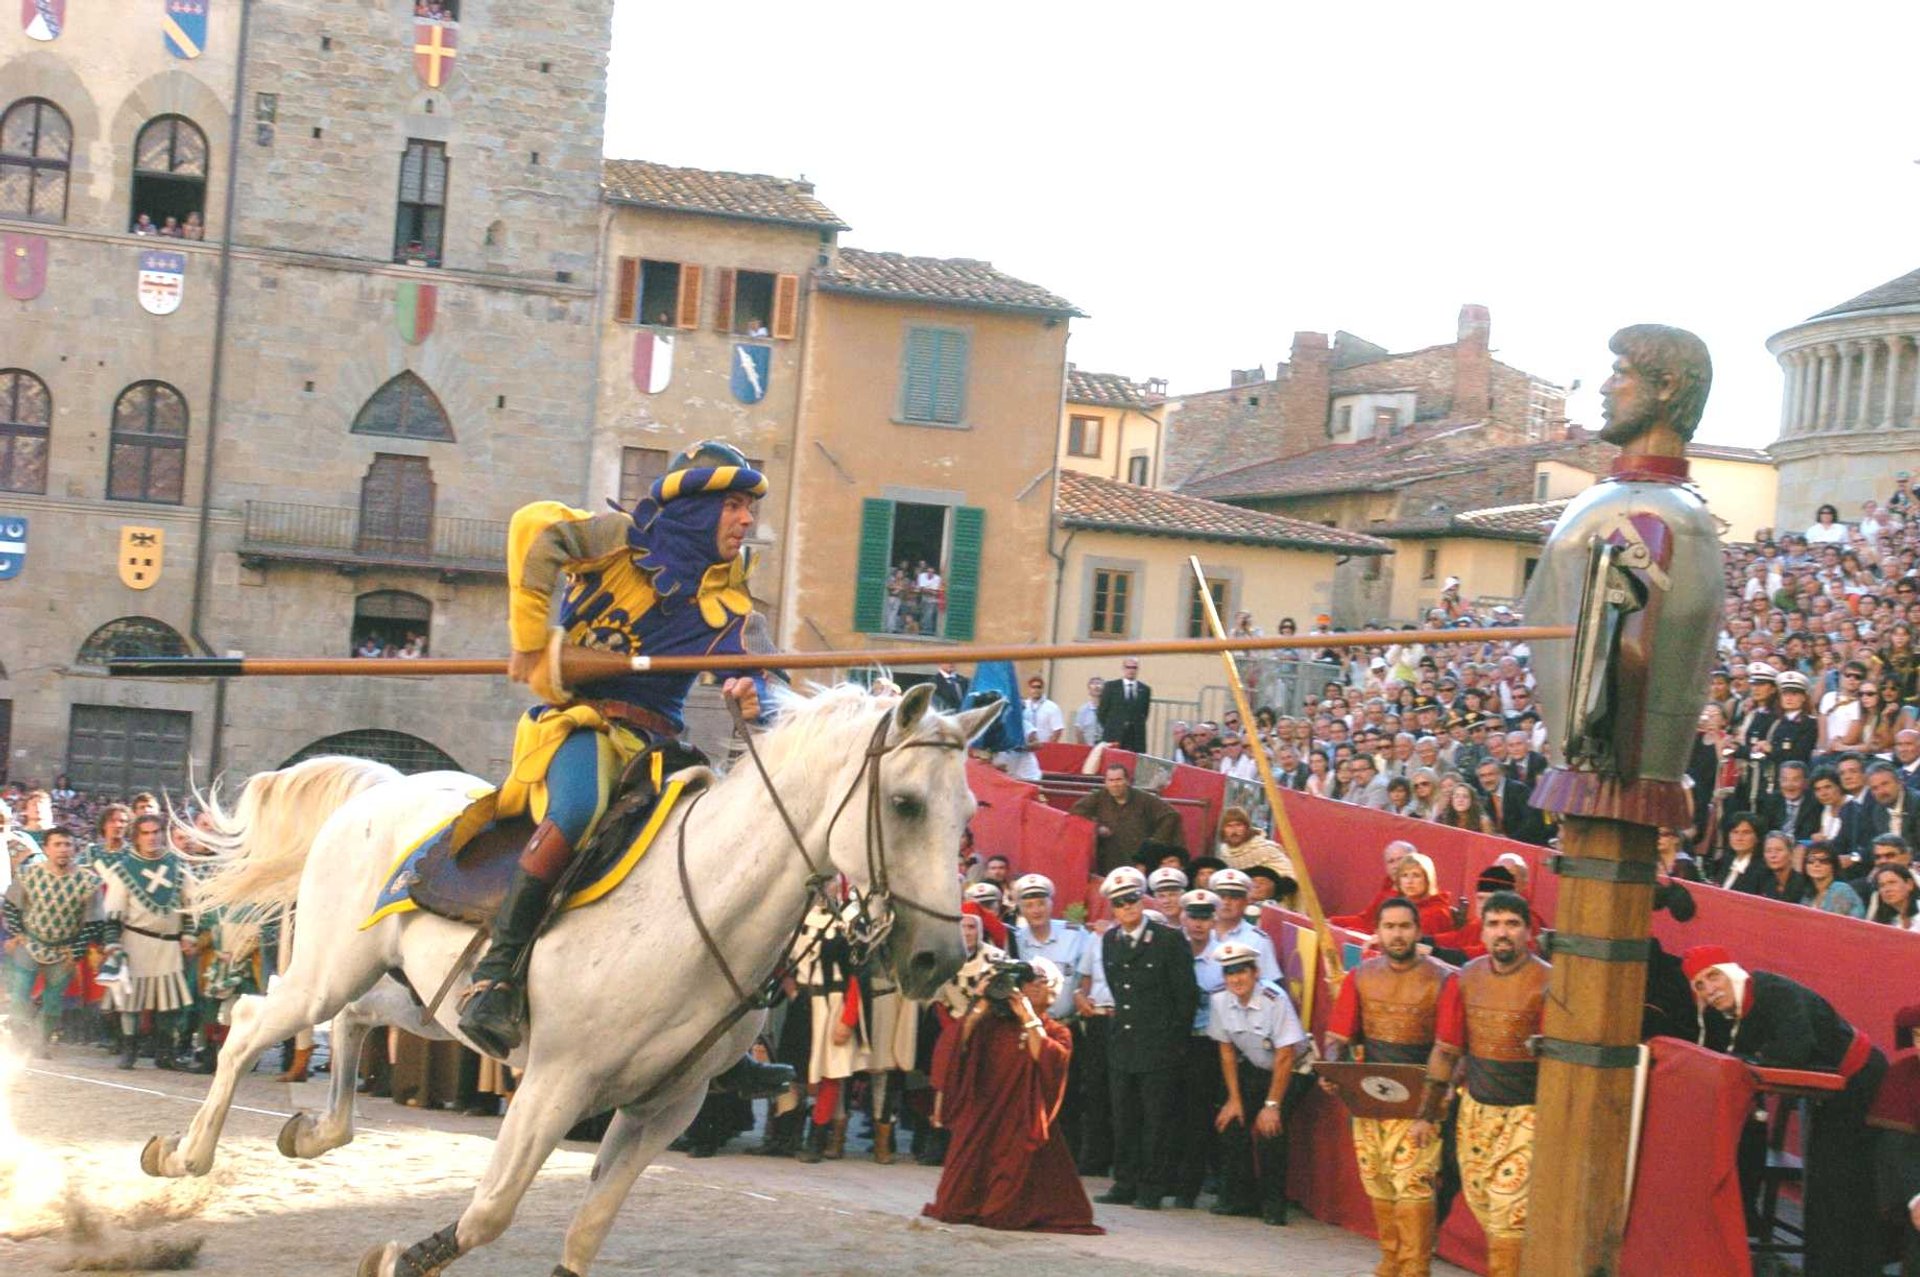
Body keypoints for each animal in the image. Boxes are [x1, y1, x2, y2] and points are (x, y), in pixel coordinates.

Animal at [145, 687, 990, 1275]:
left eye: (967, 813)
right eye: (905, 803)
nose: (939, 960)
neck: (701, 903)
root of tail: (384, 785)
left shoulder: (664, 1107)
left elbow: (585, 1232)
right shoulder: (557, 1083)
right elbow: (490, 1211)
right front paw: (395, 1259)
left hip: (409, 990)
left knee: (351, 1021)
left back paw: (311, 1130)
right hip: (327, 968)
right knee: (251, 1022)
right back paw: (183, 1155)